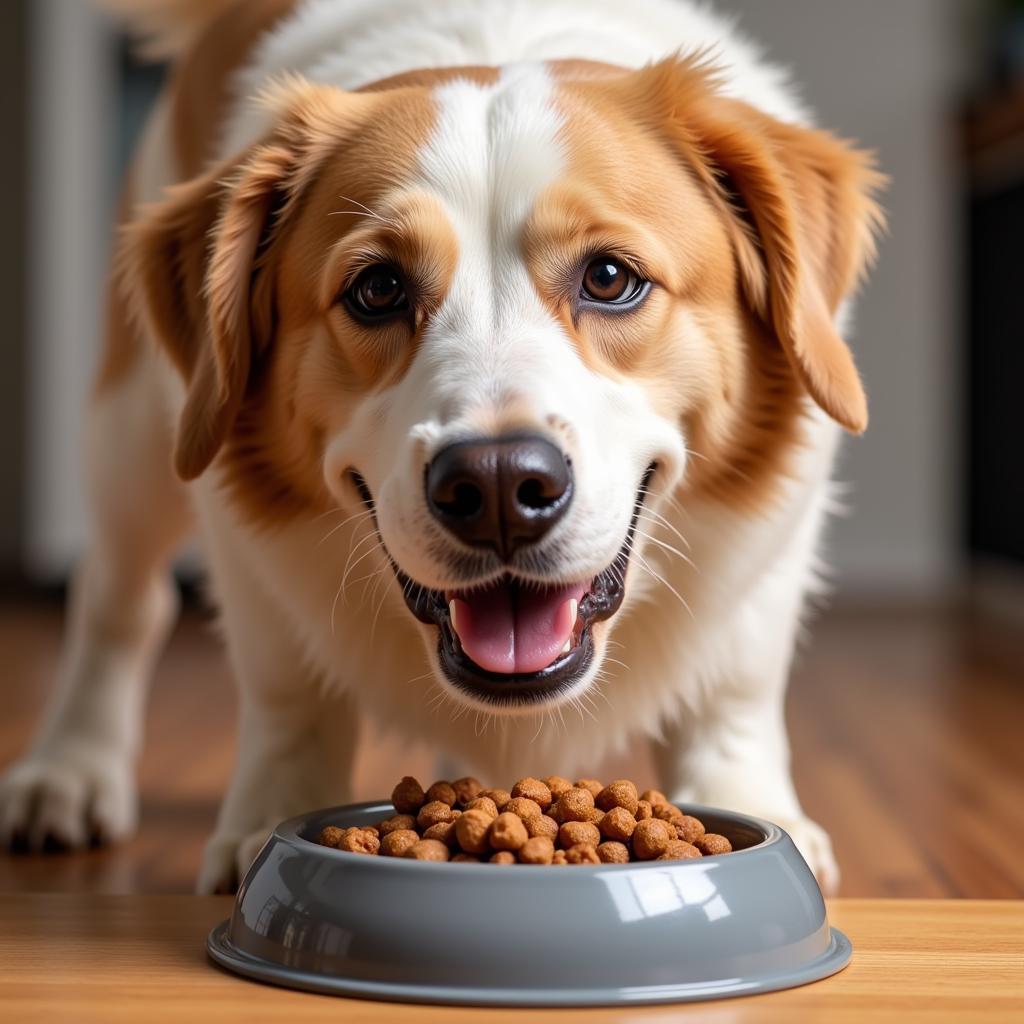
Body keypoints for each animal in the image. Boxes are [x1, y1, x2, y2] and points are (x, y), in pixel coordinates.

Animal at [0, 0, 880, 897]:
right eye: (378, 288)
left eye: (609, 278)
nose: (496, 487)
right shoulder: (247, 547)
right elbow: (290, 699)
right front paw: (268, 820)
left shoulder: (770, 544)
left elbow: (732, 693)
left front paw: (749, 802)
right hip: (136, 438)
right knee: (117, 598)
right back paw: (69, 769)